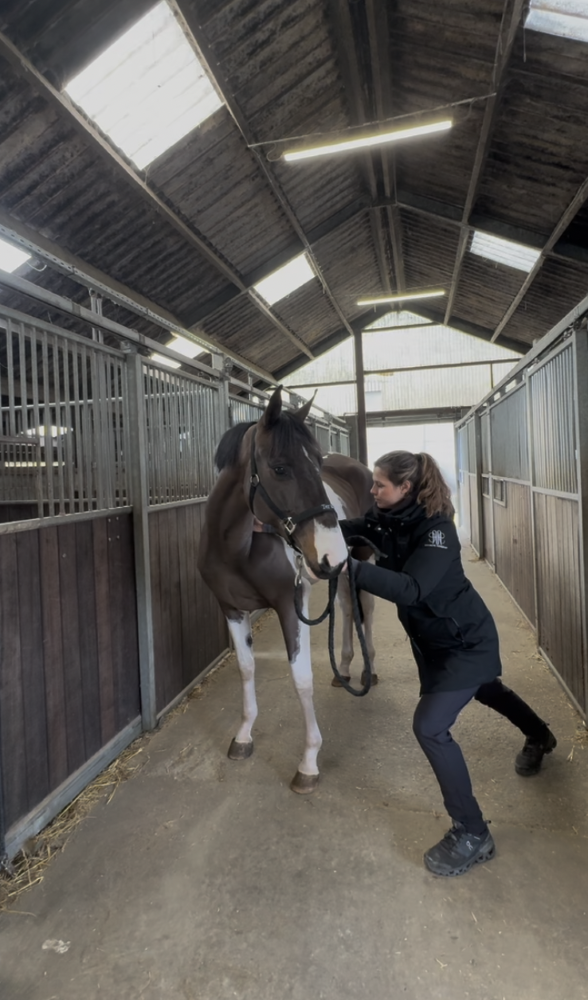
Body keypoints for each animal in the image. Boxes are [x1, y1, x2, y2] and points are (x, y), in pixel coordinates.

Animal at [197, 388, 377, 793]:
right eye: (279, 468)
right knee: (346, 608)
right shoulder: (230, 608)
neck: (238, 547)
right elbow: (246, 668)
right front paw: (244, 735)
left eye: (317, 462)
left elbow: (301, 679)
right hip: (340, 575)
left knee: (366, 609)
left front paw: (308, 762)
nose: (332, 552)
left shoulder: (290, 605)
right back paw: (343, 668)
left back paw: (367, 670)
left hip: (359, 560)